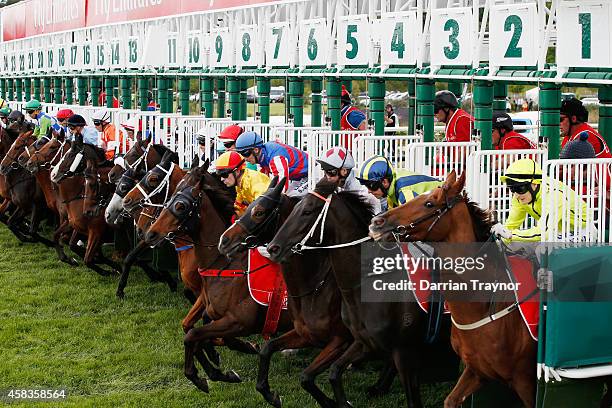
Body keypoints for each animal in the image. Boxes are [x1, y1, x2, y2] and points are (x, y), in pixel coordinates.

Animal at [146, 160, 294, 396]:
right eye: (175, 191)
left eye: (181, 206)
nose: (151, 234)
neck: (223, 265)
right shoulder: (210, 306)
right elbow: (191, 329)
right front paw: (217, 367)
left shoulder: (236, 319)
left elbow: (197, 332)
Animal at [368, 170, 536, 408]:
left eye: (429, 203)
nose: (377, 222)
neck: (486, 306)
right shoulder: (477, 370)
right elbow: (451, 400)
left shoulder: (525, 381)